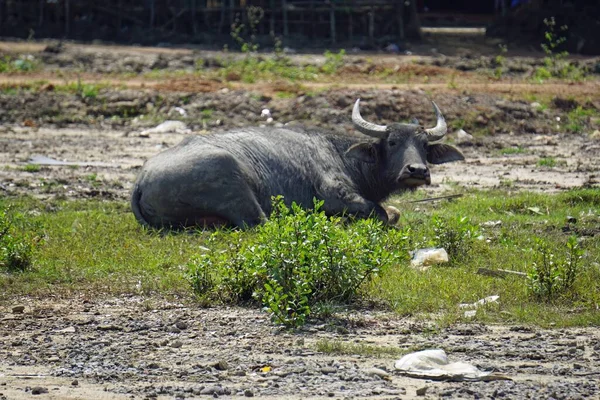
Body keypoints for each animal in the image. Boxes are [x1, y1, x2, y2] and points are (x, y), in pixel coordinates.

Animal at [131, 99, 464, 228]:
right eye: (392, 142)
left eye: (424, 145)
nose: (417, 171)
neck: (343, 155)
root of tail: (140, 180)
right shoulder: (337, 195)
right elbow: (381, 212)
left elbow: (391, 211)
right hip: (233, 182)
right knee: (260, 221)